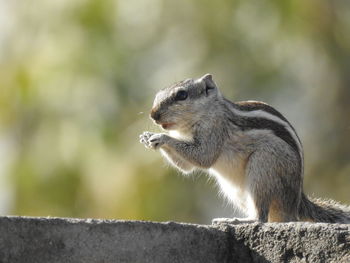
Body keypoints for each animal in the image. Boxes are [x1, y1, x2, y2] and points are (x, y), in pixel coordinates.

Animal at [139, 74, 350, 225]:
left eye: (181, 95)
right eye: (158, 94)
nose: (153, 115)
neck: (210, 111)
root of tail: (296, 202)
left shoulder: (215, 130)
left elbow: (203, 157)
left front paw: (161, 137)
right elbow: (187, 167)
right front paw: (147, 137)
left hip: (263, 169)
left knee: (261, 217)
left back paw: (235, 220)